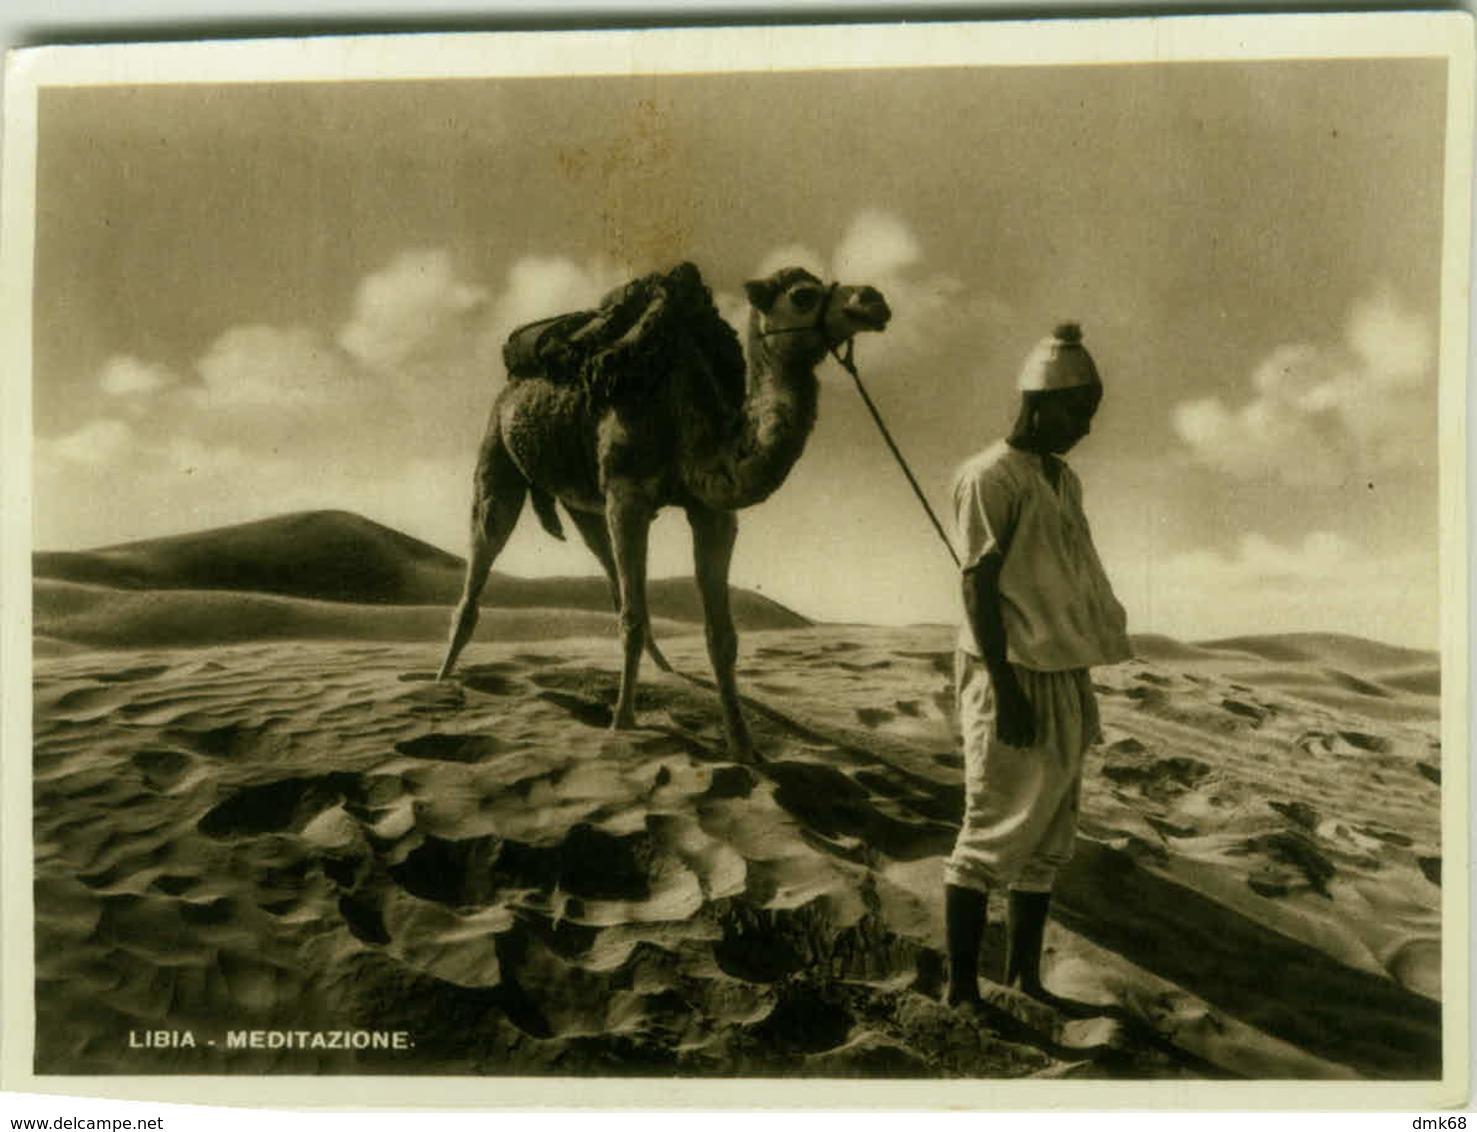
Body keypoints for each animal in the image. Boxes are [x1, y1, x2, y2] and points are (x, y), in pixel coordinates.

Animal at [428, 263, 886, 762]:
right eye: (803, 296)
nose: (874, 301)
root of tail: (512, 381)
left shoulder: (711, 512)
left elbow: (721, 635)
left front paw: (743, 744)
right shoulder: (628, 494)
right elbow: (632, 620)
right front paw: (622, 723)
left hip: (585, 503)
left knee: (609, 570)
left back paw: (664, 666)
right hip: (499, 458)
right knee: (484, 556)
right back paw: (441, 678)